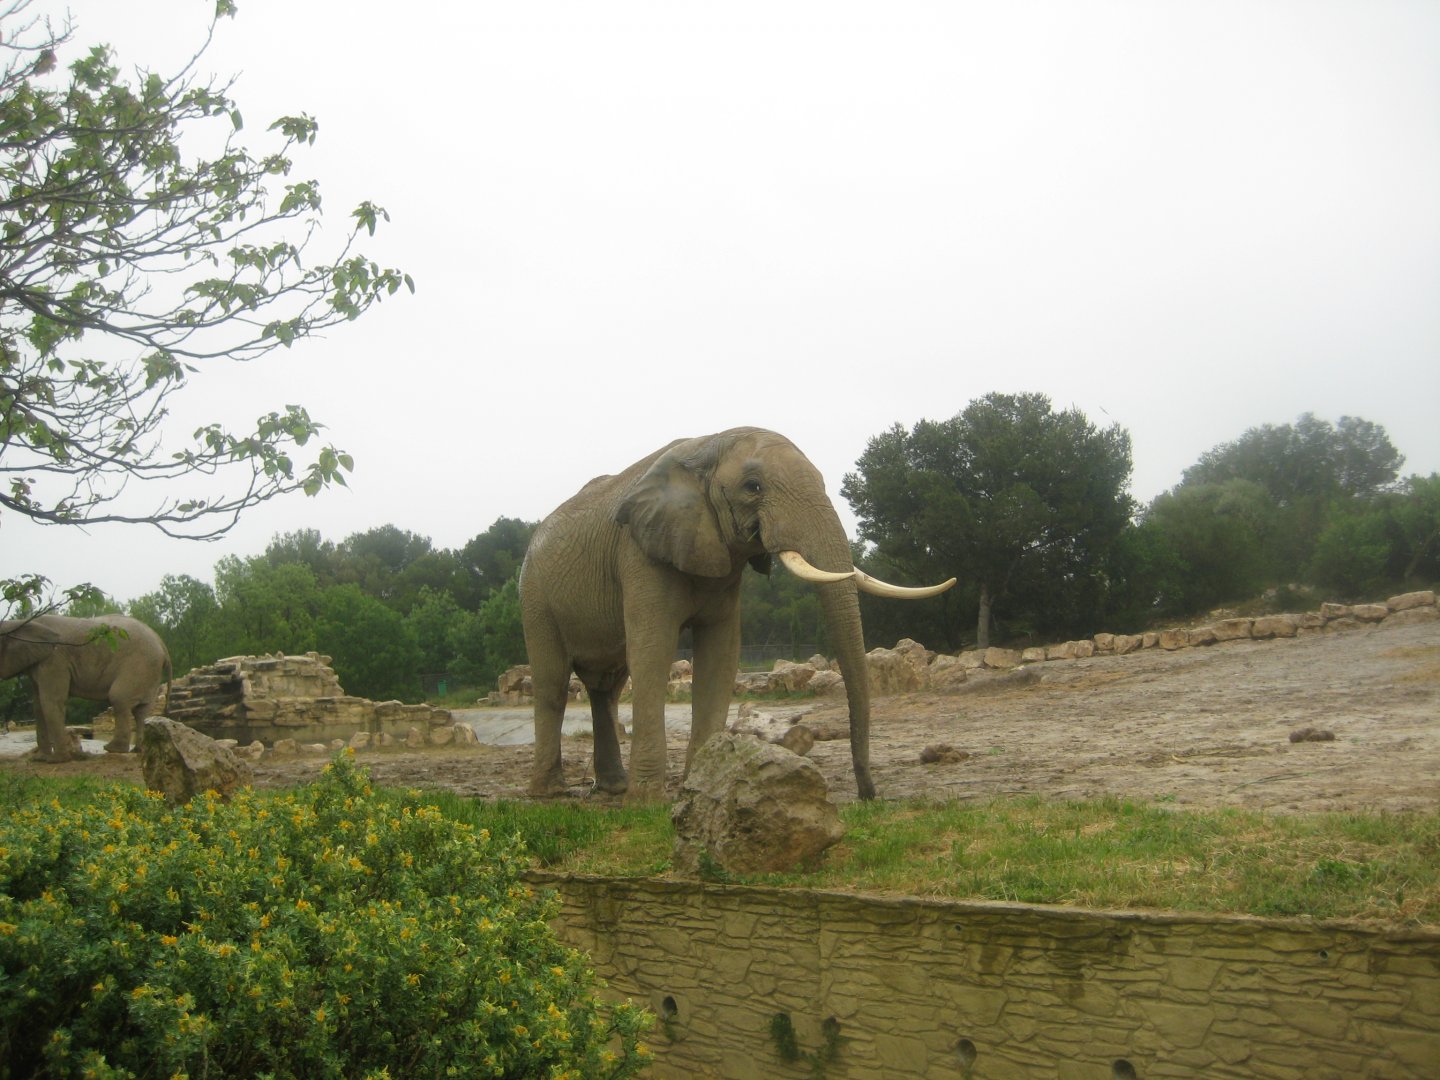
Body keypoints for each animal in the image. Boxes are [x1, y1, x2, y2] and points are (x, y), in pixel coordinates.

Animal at [0, 614, 172, 761]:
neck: (20, 623)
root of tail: (162, 644)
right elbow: (38, 706)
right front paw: (40, 759)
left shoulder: (54, 660)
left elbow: (50, 702)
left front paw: (57, 760)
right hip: (148, 671)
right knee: (141, 710)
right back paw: (138, 750)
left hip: (139, 665)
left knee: (119, 699)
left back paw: (112, 749)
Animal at [519, 427, 955, 802]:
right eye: (753, 487)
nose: (868, 797)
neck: (707, 446)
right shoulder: (640, 555)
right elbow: (653, 651)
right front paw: (645, 805)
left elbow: (721, 654)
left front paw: (699, 786)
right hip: (535, 597)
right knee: (553, 684)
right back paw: (550, 794)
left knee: (605, 688)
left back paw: (612, 788)